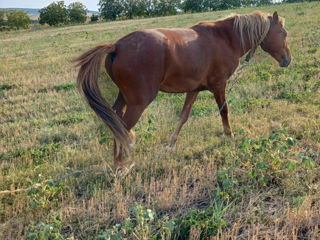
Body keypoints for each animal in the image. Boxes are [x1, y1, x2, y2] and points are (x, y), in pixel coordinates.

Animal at [76, 11, 292, 168]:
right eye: (283, 33)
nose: (287, 60)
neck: (226, 38)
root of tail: (116, 46)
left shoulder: (194, 89)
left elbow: (183, 116)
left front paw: (171, 145)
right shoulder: (219, 86)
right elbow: (224, 111)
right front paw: (230, 136)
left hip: (124, 97)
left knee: (116, 122)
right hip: (138, 102)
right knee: (123, 127)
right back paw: (120, 167)